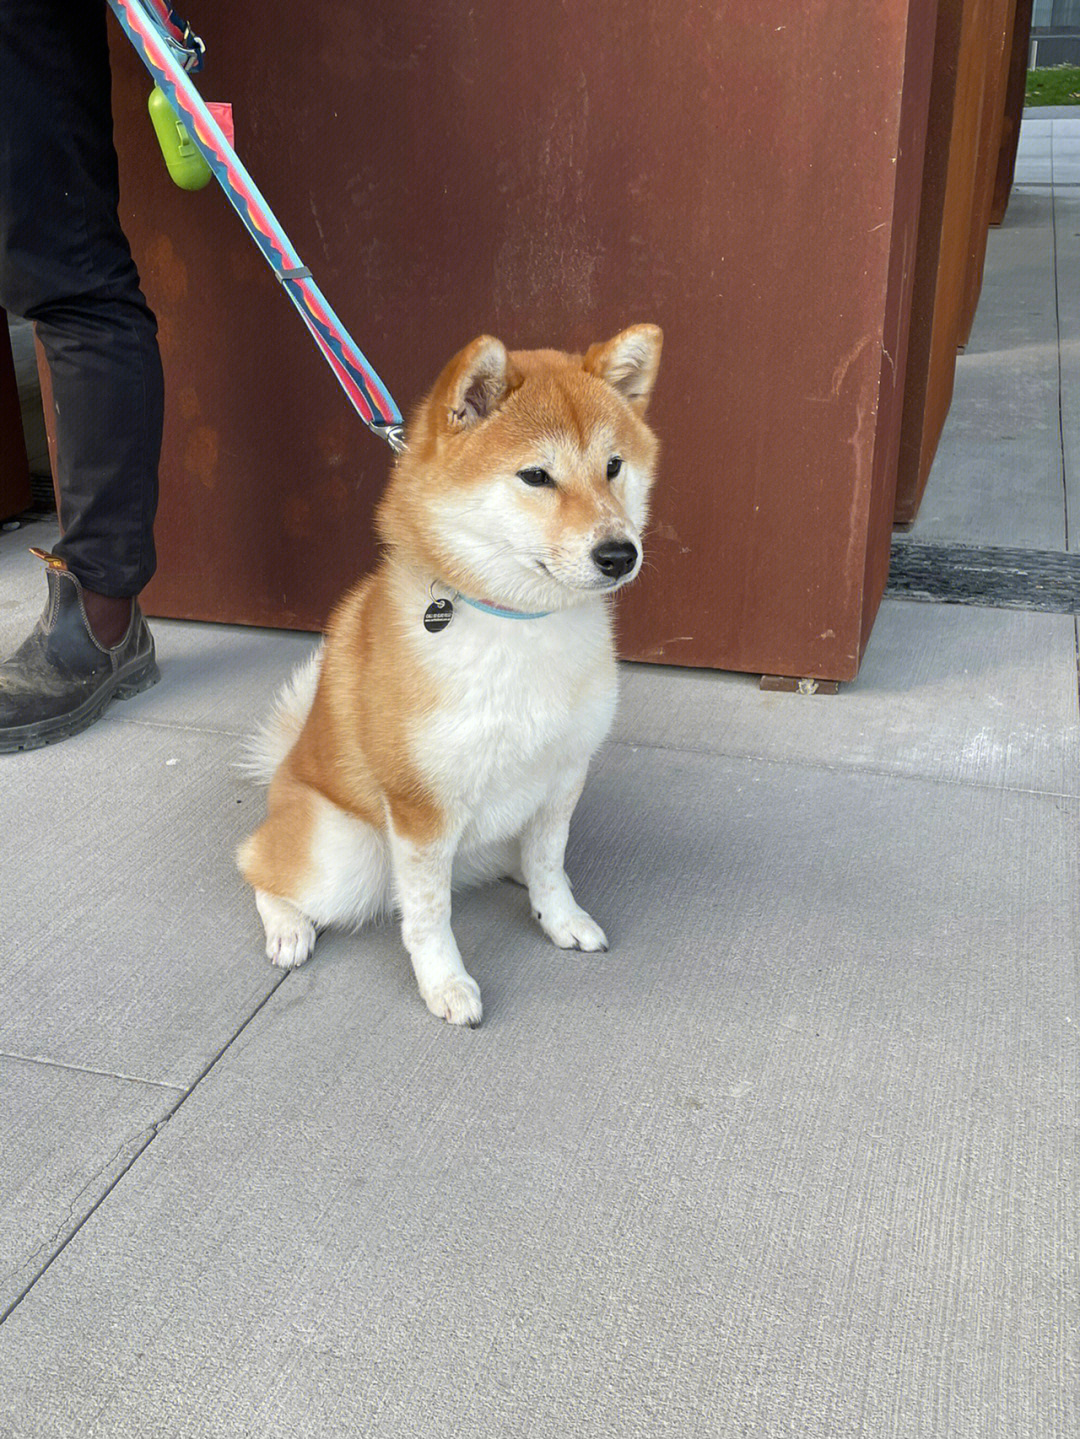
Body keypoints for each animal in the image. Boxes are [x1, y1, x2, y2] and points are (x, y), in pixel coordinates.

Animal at [235, 326, 658, 1024]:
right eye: (536, 476)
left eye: (614, 467)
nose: (619, 553)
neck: (518, 626)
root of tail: (282, 769)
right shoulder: (421, 808)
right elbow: (429, 915)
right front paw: (445, 983)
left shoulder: (564, 775)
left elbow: (549, 864)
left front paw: (561, 917)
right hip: (344, 856)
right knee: (257, 865)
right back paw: (288, 927)